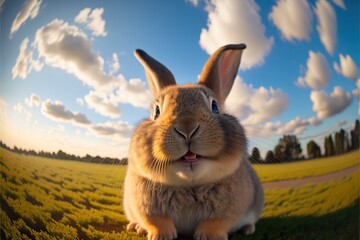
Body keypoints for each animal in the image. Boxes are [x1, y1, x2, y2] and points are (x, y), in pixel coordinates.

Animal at [124, 43, 264, 240]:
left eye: (215, 106)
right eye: (156, 111)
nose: (187, 127)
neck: (189, 184)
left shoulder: (227, 212)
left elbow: (215, 222)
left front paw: (209, 236)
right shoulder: (147, 209)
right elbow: (157, 221)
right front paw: (161, 236)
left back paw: (248, 229)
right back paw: (136, 227)